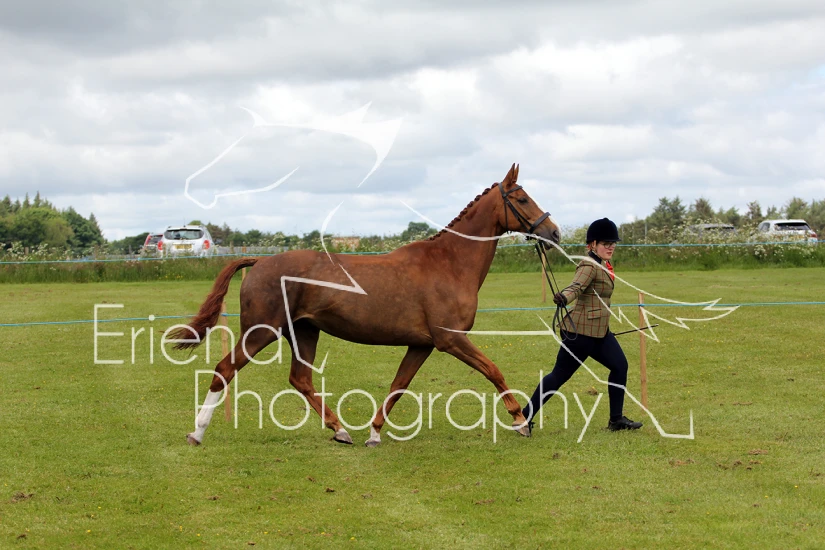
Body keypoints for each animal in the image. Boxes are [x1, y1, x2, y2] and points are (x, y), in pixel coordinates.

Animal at [174, 163, 561, 447]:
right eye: (522, 198)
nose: (554, 233)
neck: (449, 263)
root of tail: (259, 262)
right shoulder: (451, 339)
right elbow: (493, 370)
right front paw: (520, 421)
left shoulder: (422, 345)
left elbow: (398, 386)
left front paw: (374, 433)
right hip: (261, 331)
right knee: (224, 369)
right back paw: (197, 432)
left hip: (304, 333)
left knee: (300, 380)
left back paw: (340, 430)